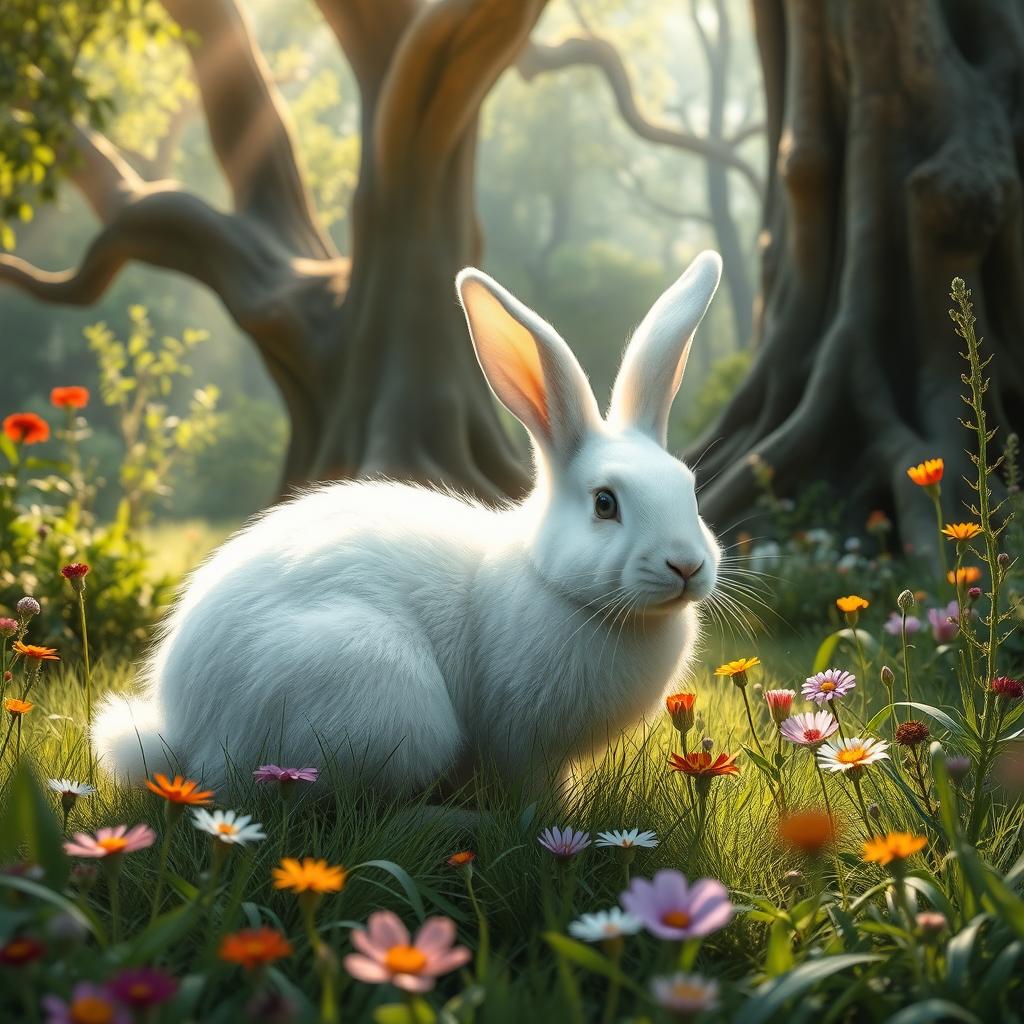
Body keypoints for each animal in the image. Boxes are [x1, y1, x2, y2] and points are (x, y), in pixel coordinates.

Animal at [93, 250, 724, 796]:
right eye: (604, 503)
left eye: (689, 489)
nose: (686, 565)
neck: (557, 587)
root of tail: (185, 733)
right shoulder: (524, 745)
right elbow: (534, 796)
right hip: (381, 698)